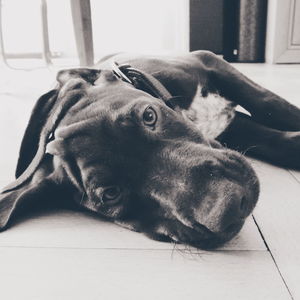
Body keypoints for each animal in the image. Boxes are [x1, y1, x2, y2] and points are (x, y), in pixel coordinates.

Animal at [0, 51, 300, 248]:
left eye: (149, 116)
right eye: (111, 194)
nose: (232, 203)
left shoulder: (208, 61)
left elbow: (269, 103)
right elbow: (268, 137)